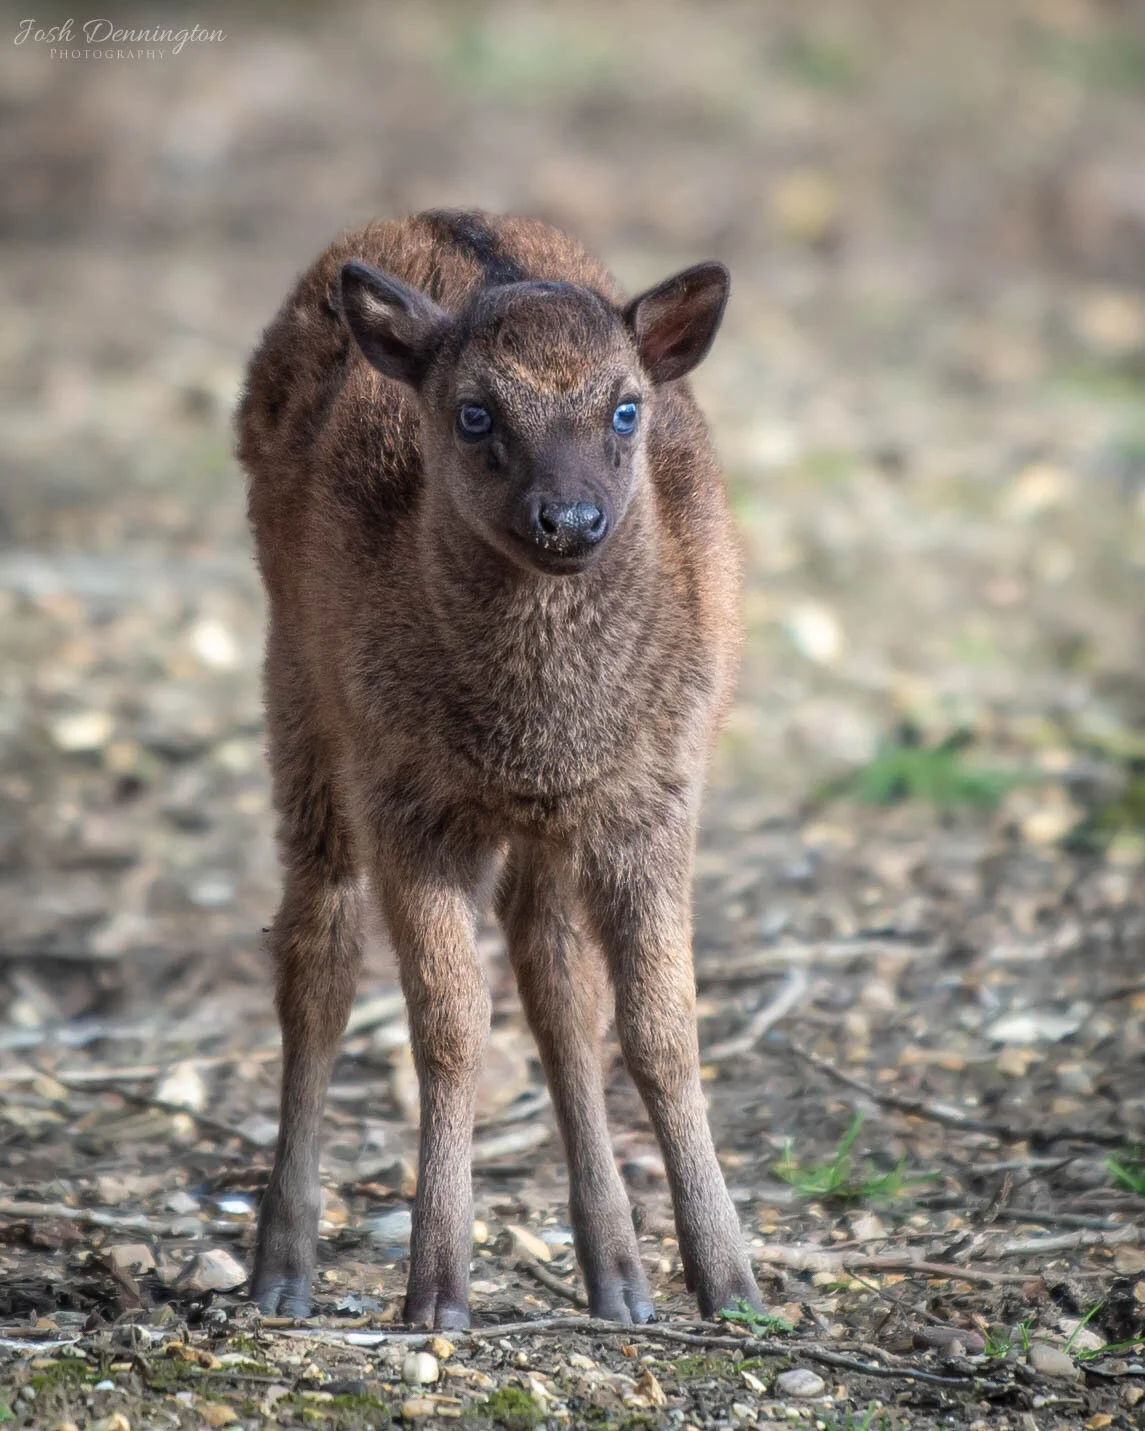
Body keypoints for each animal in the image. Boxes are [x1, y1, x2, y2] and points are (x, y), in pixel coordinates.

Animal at [236, 208, 763, 1329]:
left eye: (623, 408)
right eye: (473, 413)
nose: (567, 522)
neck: (542, 736)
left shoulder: (655, 792)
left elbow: (660, 1027)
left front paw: (732, 1283)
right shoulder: (408, 798)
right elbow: (448, 1029)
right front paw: (436, 1290)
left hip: (552, 828)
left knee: (555, 978)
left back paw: (618, 1276)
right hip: (297, 686)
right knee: (315, 947)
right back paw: (281, 1267)